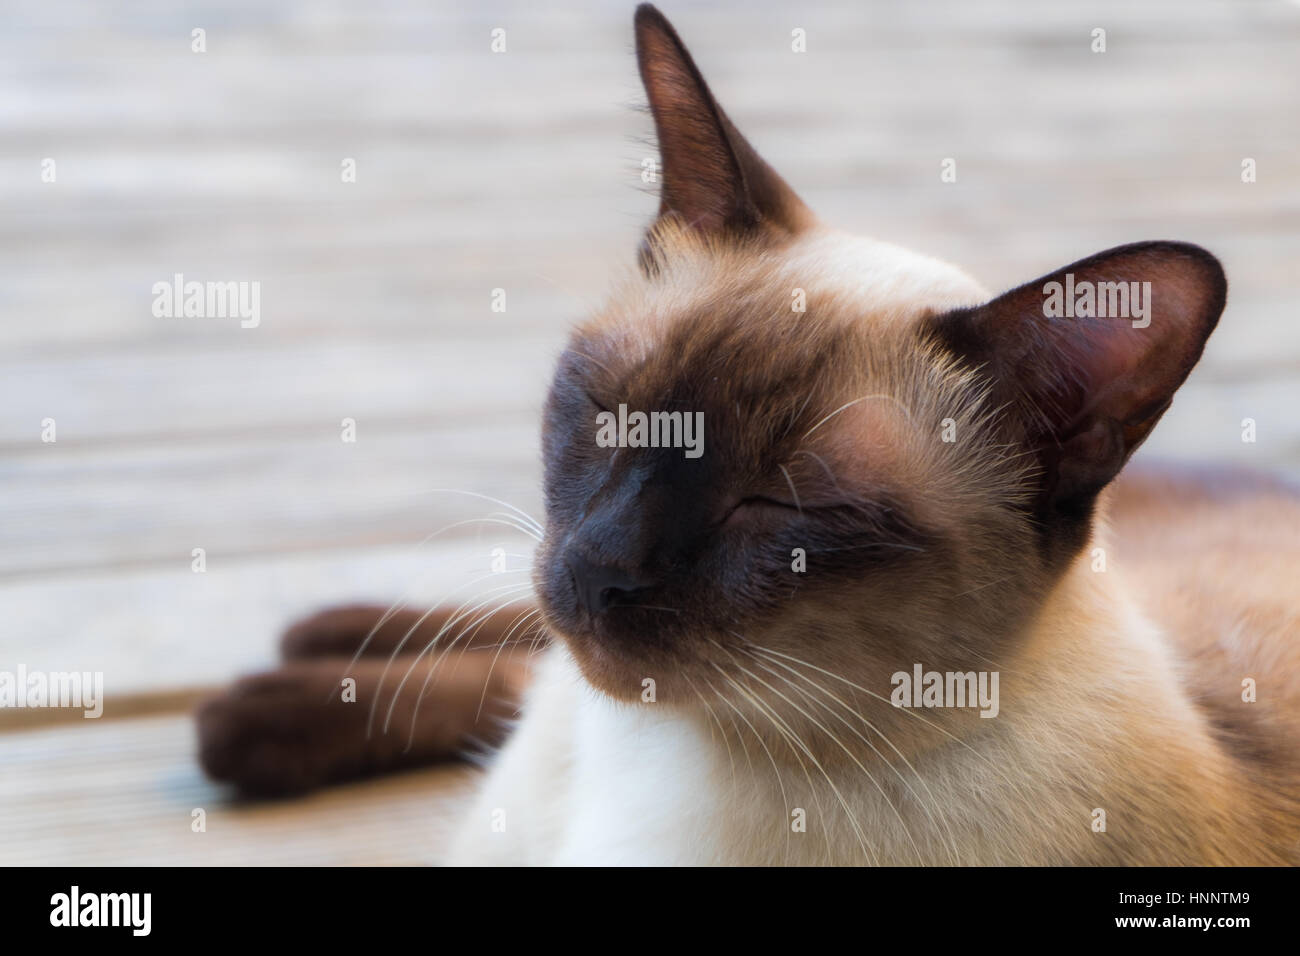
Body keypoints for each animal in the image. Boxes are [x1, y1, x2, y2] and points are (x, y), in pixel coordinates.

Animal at [192, 1, 1300, 868]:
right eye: (609, 410)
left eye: (783, 508)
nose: (601, 569)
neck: (654, 758)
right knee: (510, 645)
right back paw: (309, 654)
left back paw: (256, 709)